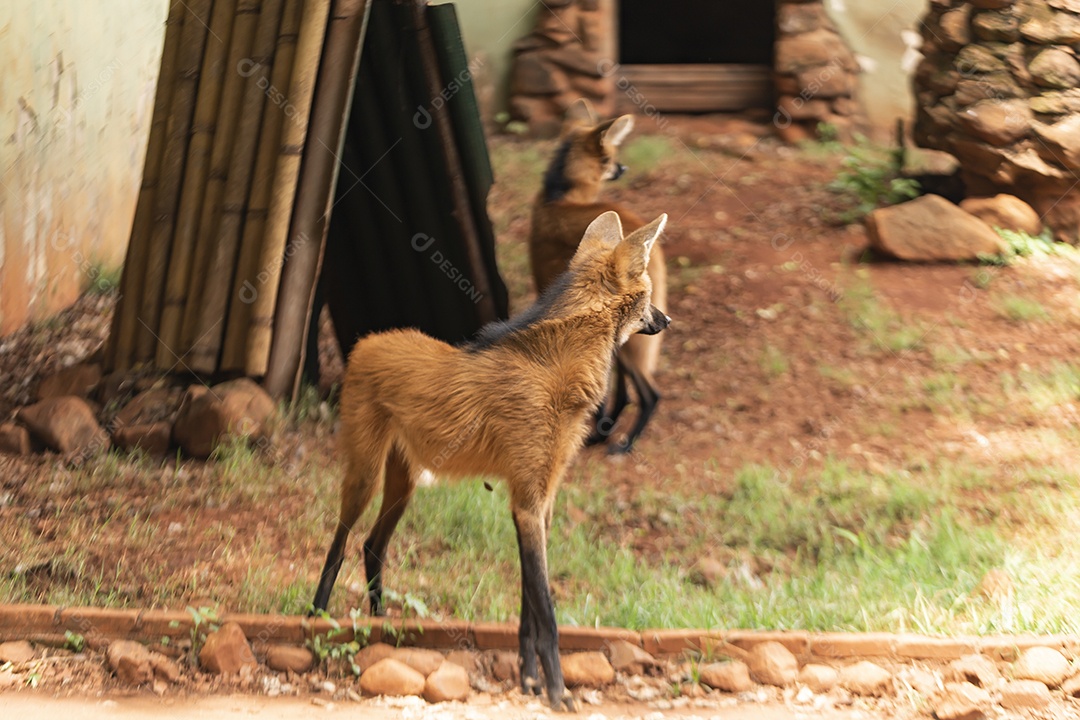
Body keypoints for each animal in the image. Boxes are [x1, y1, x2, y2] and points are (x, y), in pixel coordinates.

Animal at [311, 211, 669, 711]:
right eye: (649, 297)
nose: (666, 319)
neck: (559, 374)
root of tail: (365, 341)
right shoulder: (528, 502)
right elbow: (546, 611)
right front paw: (557, 693)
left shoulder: (538, 502)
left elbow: (528, 608)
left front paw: (530, 681)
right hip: (365, 476)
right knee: (339, 544)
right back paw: (316, 621)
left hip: (404, 484)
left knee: (372, 546)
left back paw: (381, 628)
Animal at [529, 100, 668, 454]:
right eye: (610, 157)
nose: (623, 167)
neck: (559, 198)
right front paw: (601, 426)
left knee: (650, 393)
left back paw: (624, 444)